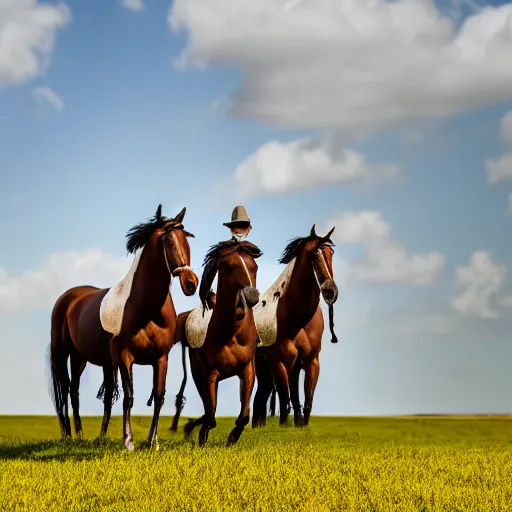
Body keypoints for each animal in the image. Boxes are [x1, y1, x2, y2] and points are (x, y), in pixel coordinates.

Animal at [48, 206, 199, 450]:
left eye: (186, 239)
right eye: (168, 240)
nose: (191, 283)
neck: (147, 310)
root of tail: (68, 298)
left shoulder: (161, 358)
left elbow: (158, 397)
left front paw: (152, 442)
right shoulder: (125, 356)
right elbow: (129, 397)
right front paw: (128, 441)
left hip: (86, 359)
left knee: (89, 393)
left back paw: (94, 437)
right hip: (64, 355)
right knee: (68, 391)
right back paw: (73, 436)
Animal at [171, 239, 260, 444]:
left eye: (255, 267)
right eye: (229, 267)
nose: (252, 295)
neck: (230, 334)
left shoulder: (247, 369)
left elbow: (244, 415)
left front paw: (232, 438)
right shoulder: (210, 374)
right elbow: (210, 415)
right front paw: (201, 436)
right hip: (198, 373)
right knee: (208, 408)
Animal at [251, 226, 338, 430]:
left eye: (331, 253)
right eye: (314, 255)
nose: (331, 292)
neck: (299, 321)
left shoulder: (311, 361)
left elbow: (306, 400)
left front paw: (301, 425)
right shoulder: (280, 362)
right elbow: (285, 400)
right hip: (263, 365)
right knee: (261, 398)